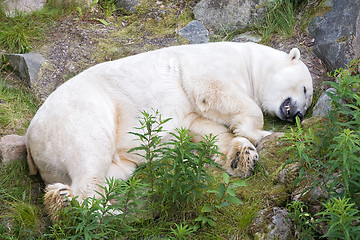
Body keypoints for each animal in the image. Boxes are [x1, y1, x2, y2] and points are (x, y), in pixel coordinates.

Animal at [24, 41, 312, 218]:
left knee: (113, 172)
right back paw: (101, 212)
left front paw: (241, 157)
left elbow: (200, 128)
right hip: (79, 115)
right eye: (306, 90)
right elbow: (213, 91)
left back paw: (64, 199)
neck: (248, 61)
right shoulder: (211, 65)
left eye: (307, 102)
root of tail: (30, 140)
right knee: (90, 153)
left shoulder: (191, 113)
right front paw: (259, 133)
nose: (297, 114)